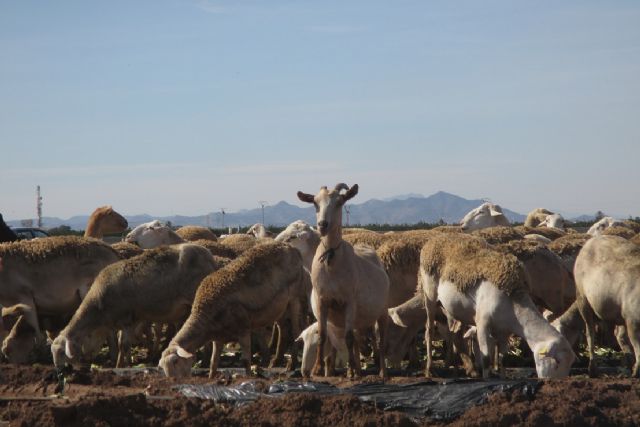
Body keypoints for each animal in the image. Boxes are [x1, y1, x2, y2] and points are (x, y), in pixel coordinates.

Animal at [51, 243, 223, 368]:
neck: (98, 307)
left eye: (61, 353)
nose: (59, 371)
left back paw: (205, 360)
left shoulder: (127, 319)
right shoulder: (129, 321)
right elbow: (126, 343)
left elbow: (123, 345)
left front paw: (120, 366)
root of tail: (209, 256)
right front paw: (128, 361)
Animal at [159, 242, 306, 378]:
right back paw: (277, 361)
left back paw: (292, 364)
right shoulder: (218, 337)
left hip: (294, 297)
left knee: (296, 330)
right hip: (279, 306)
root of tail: (291, 247)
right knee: (283, 329)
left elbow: (245, 360)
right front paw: (211, 378)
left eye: (176, 362)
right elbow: (213, 362)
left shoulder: (244, 328)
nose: (175, 381)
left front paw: (249, 378)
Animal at [297, 183, 390, 379]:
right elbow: (323, 335)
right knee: (362, 339)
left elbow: (348, 338)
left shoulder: (349, 302)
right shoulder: (322, 301)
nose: (322, 224)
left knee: (380, 340)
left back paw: (382, 372)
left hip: (382, 310)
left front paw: (353, 369)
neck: (331, 261)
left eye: (340, 202)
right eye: (315, 202)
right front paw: (318, 369)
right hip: (363, 318)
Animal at [419, 232, 575, 378]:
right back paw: (429, 369)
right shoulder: (482, 324)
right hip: (429, 295)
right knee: (429, 331)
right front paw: (487, 378)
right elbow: (486, 359)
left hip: (449, 308)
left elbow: (503, 359)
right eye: (557, 362)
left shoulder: (505, 332)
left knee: (453, 334)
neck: (515, 305)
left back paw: (457, 369)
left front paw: (502, 377)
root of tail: (434, 240)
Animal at [574, 235, 640, 377]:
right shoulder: (632, 320)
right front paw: (637, 370)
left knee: (619, 336)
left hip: (619, 313)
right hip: (582, 298)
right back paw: (592, 369)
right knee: (590, 332)